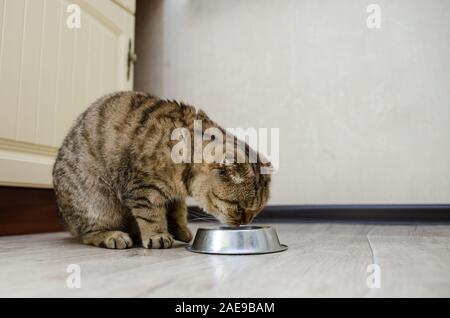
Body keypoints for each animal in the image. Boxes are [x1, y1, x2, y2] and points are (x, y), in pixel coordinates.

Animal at [52, 90, 270, 250]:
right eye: (239, 208)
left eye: (256, 211)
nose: (244, 223)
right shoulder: (143, 188)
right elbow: (151, 214)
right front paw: (158, 235)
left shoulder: (174, 196)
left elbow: (177, 211)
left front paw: (180, 229)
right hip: (98, 203)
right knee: (88, 234)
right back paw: (113, 236)